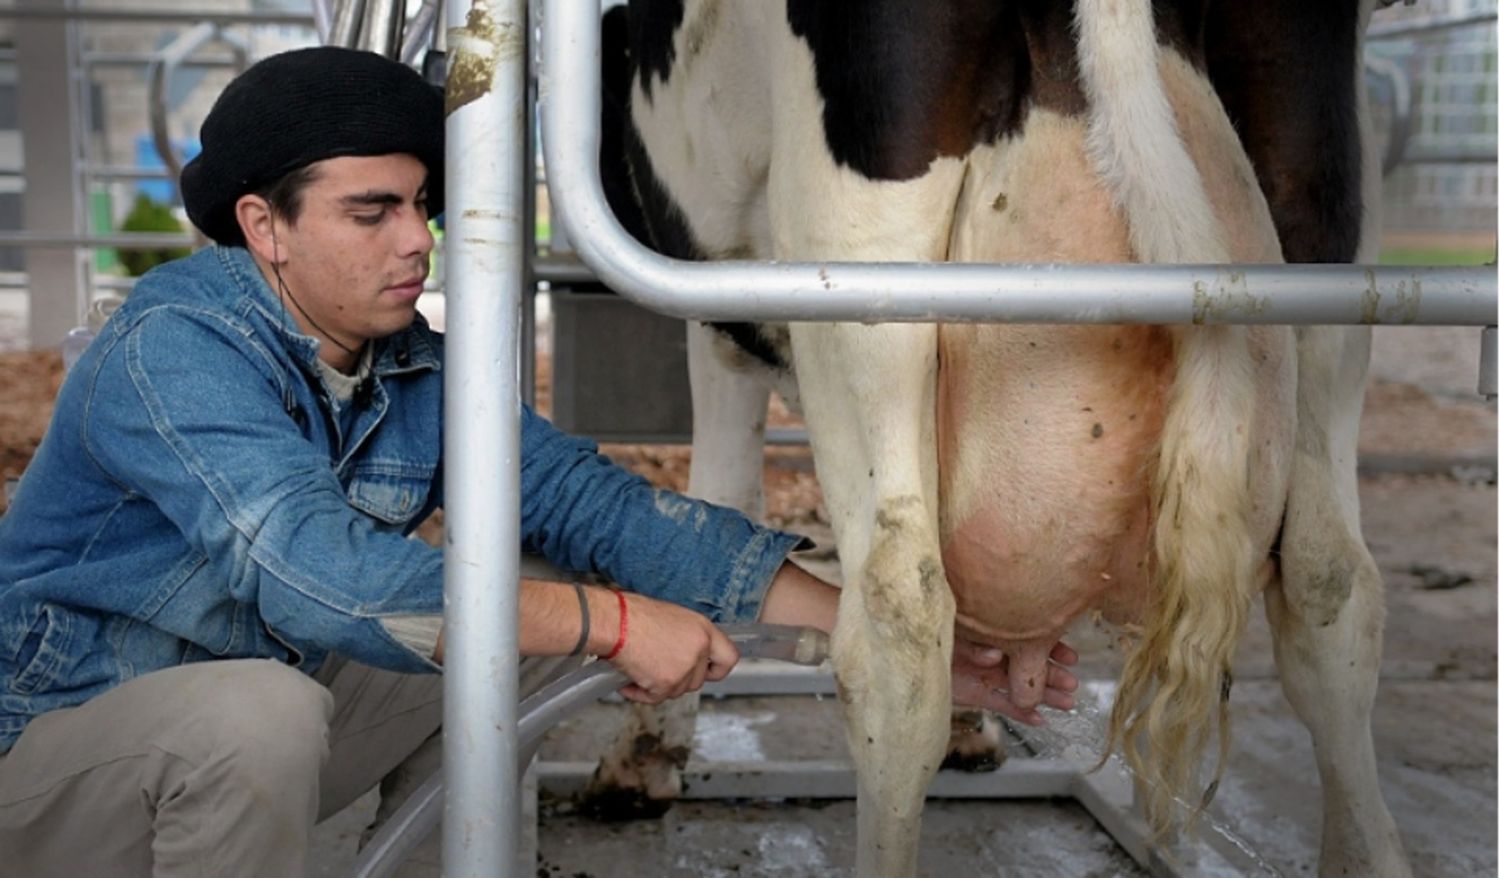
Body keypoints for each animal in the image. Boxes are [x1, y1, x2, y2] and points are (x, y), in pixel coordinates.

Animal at [582, 3, 1404, 870]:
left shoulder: (720, 327)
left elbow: (717, 497)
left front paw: (641, 761)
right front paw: (974, 727)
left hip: (860, 269)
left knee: (899, 622)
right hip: (1327, 238)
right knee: (1329, 585)